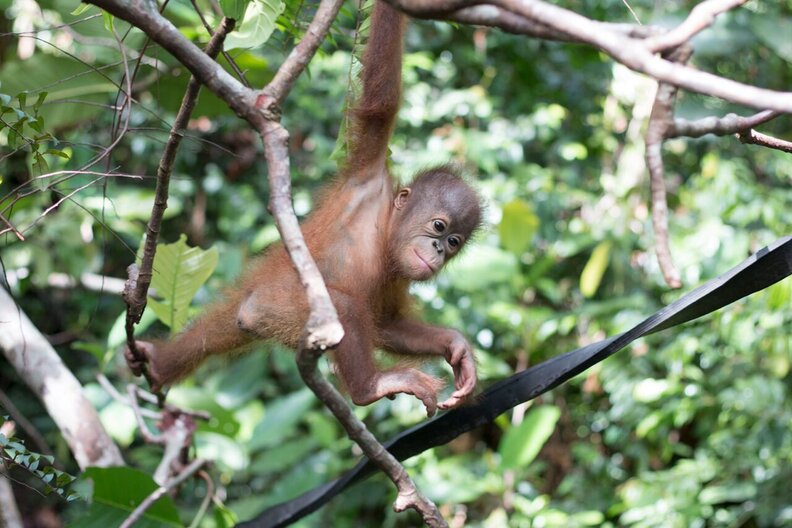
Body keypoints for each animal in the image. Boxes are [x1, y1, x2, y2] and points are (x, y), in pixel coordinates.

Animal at [126, 1, 482, 417]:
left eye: (455, 242)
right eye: (439, 226)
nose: (439, 249)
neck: (384, 229)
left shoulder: (399, 273)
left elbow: (387, 323)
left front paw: (455, 346)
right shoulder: (371, 175)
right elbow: (381, 101)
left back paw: (157, 363)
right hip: (274, 306)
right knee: (340, 304)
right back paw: (369, 388)